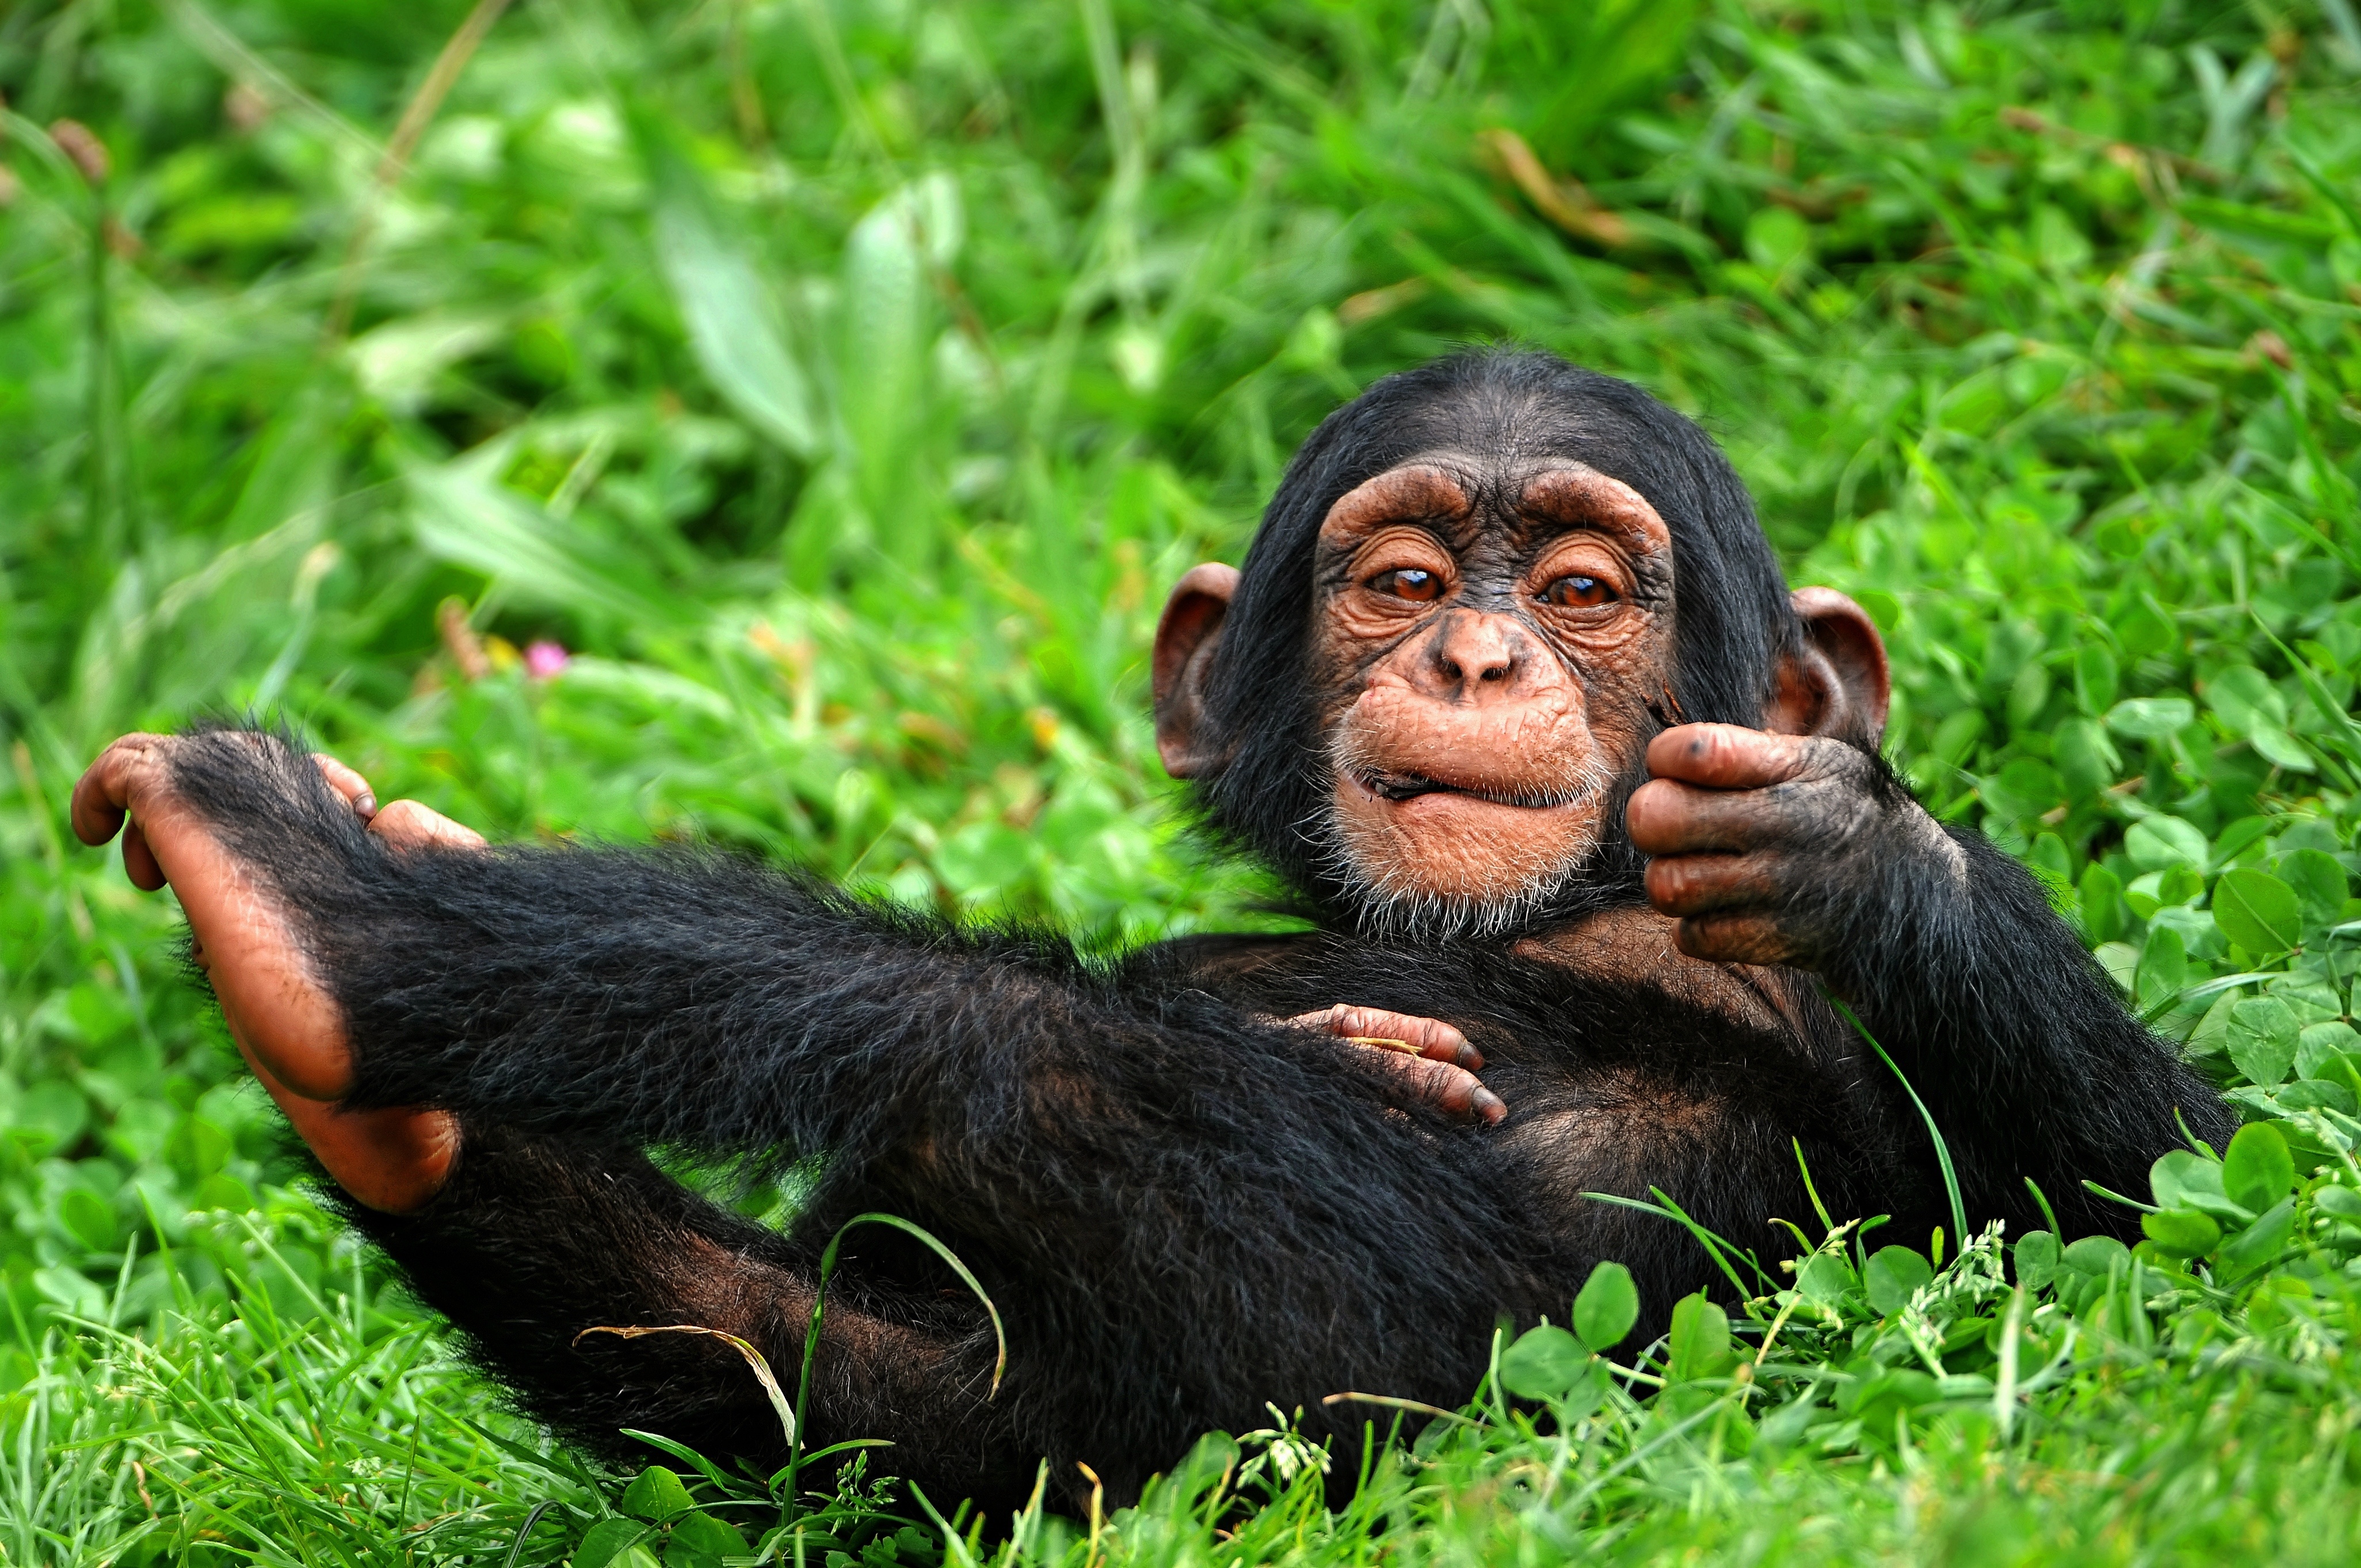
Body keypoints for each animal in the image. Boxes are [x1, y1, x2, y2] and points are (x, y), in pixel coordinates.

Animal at [64, 347, 2219, 1511]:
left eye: (1587, 587)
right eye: (1403, 574)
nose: (1477, 648)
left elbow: (2156, 1194)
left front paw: (1855, 845)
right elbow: (874, 1367)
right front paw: (1356, 1029)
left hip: (1379, 1370)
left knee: (998, 1048)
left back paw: (328, 913)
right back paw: (357, 1046)